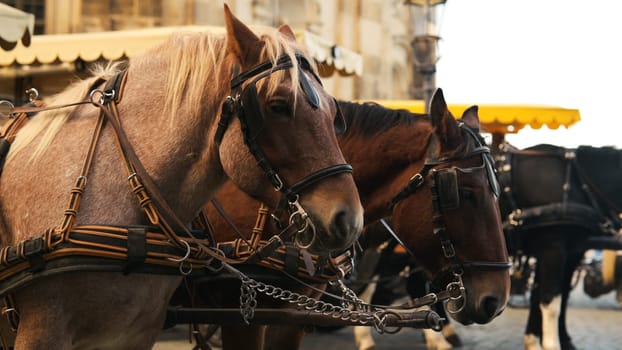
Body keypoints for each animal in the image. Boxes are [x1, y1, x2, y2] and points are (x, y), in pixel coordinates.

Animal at [500, 143, 622, 350]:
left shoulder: (570, 252)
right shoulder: (553, 250)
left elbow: (551, 297)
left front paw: (533, 341)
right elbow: (551, 302)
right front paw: (552, 344)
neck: (576, 184)